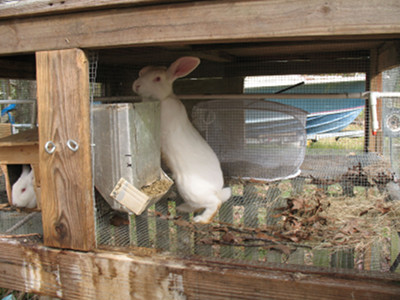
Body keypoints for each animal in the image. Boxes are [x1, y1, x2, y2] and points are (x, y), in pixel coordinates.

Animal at [133, 56, 230, 224]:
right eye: (141, 73)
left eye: (157, 78)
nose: (136, 85)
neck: (164, 98)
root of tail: (216, 190)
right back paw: (182, 208)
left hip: (191, 190)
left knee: (214, 203)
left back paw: (200, 220)